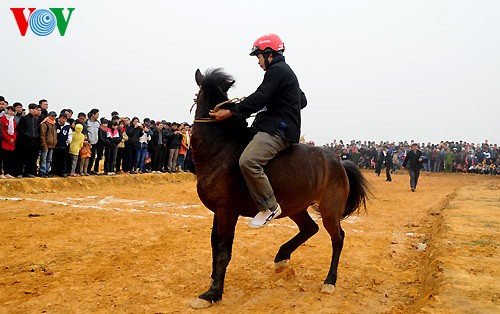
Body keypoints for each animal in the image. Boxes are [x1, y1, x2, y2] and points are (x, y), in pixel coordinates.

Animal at [189, 68, 370, 310]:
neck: (221, 148)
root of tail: (339, 161)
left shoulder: (227, 211)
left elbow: (223, 251)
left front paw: (212, 293)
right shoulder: (218, 212)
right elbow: (214, 246)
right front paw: (213, 282)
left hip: (330, 211)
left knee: (337, 238)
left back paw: (329, 281)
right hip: (296, 207)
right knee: (310, 228)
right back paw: (282, 257)